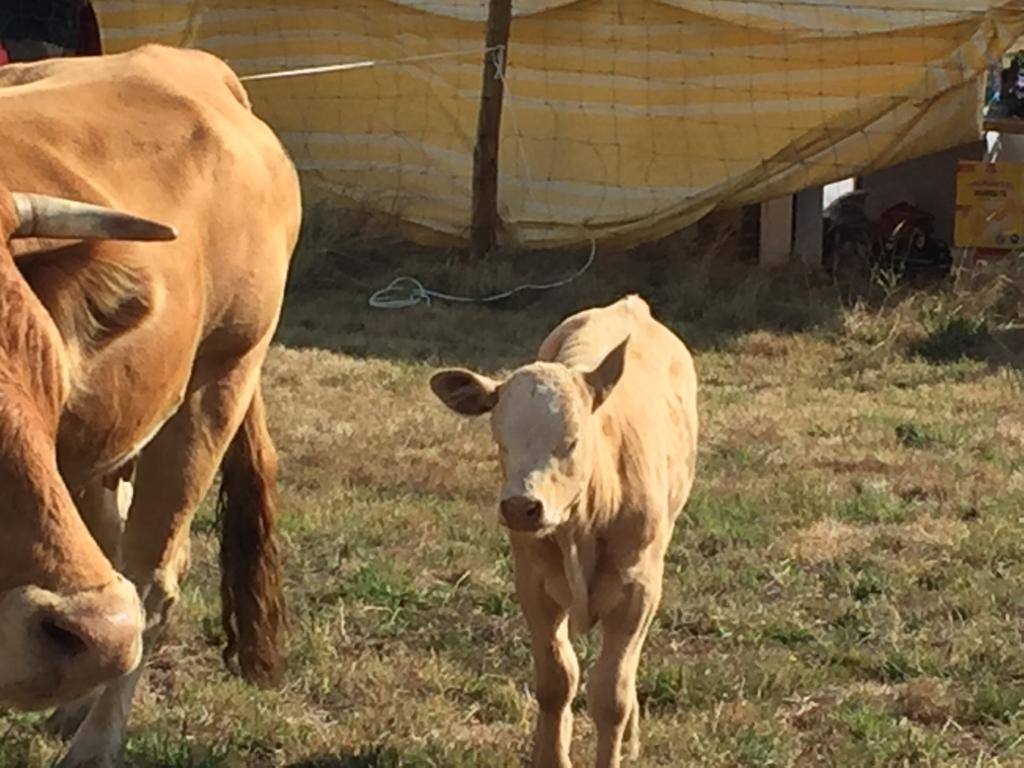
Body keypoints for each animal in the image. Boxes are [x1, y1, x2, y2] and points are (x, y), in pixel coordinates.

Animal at [428, 296, 700, 768]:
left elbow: (612, 694)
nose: (521, 506)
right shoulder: (533, 585)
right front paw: (549, 752)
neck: (582, 526)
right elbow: (557, 680)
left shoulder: (638, 591)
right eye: (500, 440)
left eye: (572, 441)